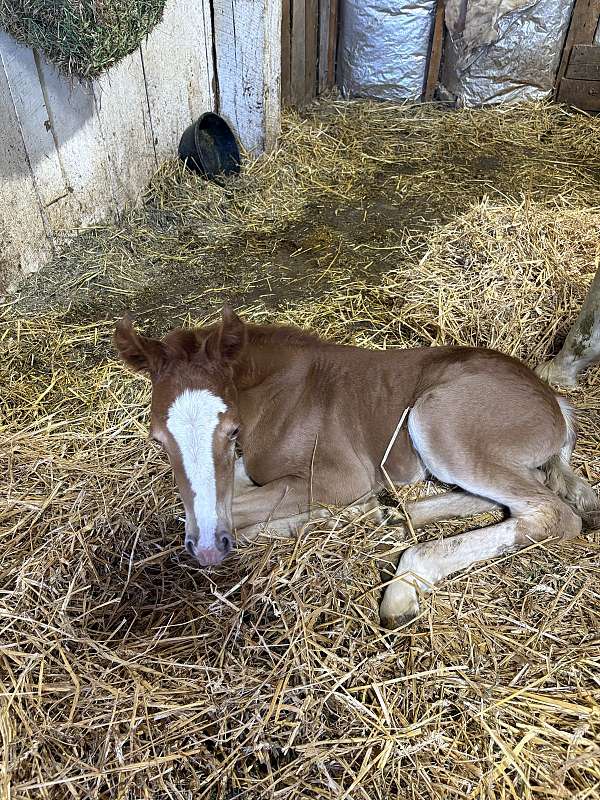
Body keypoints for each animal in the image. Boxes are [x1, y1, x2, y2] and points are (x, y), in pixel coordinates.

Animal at [114, 305, 599, 628]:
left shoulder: (338, 478)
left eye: (232, 429)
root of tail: (553, 401)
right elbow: (224, 502)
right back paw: (389, 515)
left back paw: (404, 581)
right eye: (158, 438)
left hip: (437, 420)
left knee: (551, 512)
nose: (209, 549)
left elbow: (239, 509)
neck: (275, 396)